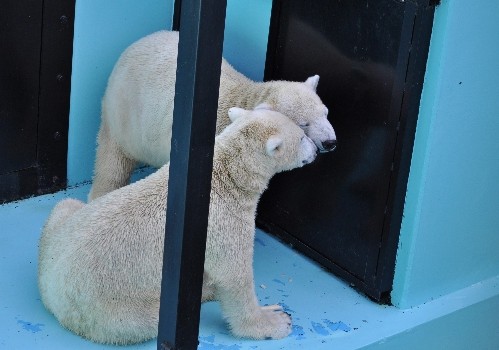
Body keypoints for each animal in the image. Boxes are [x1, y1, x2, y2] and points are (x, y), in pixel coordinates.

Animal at [40, 106, 320, 344]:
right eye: (302, 137)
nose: (317, 151)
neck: (225, 176)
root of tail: (52, 295)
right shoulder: (224, 222)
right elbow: (233, 277)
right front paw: (276, 320)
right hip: (113, 313)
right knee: (152, 319)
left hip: (61, 229)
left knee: (66, 205)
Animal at [88, 30, 338, 202]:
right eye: (303, 124)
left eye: (325, 113)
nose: (330, 142)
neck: (240, 98)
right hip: (123, 113)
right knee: (112, 161)